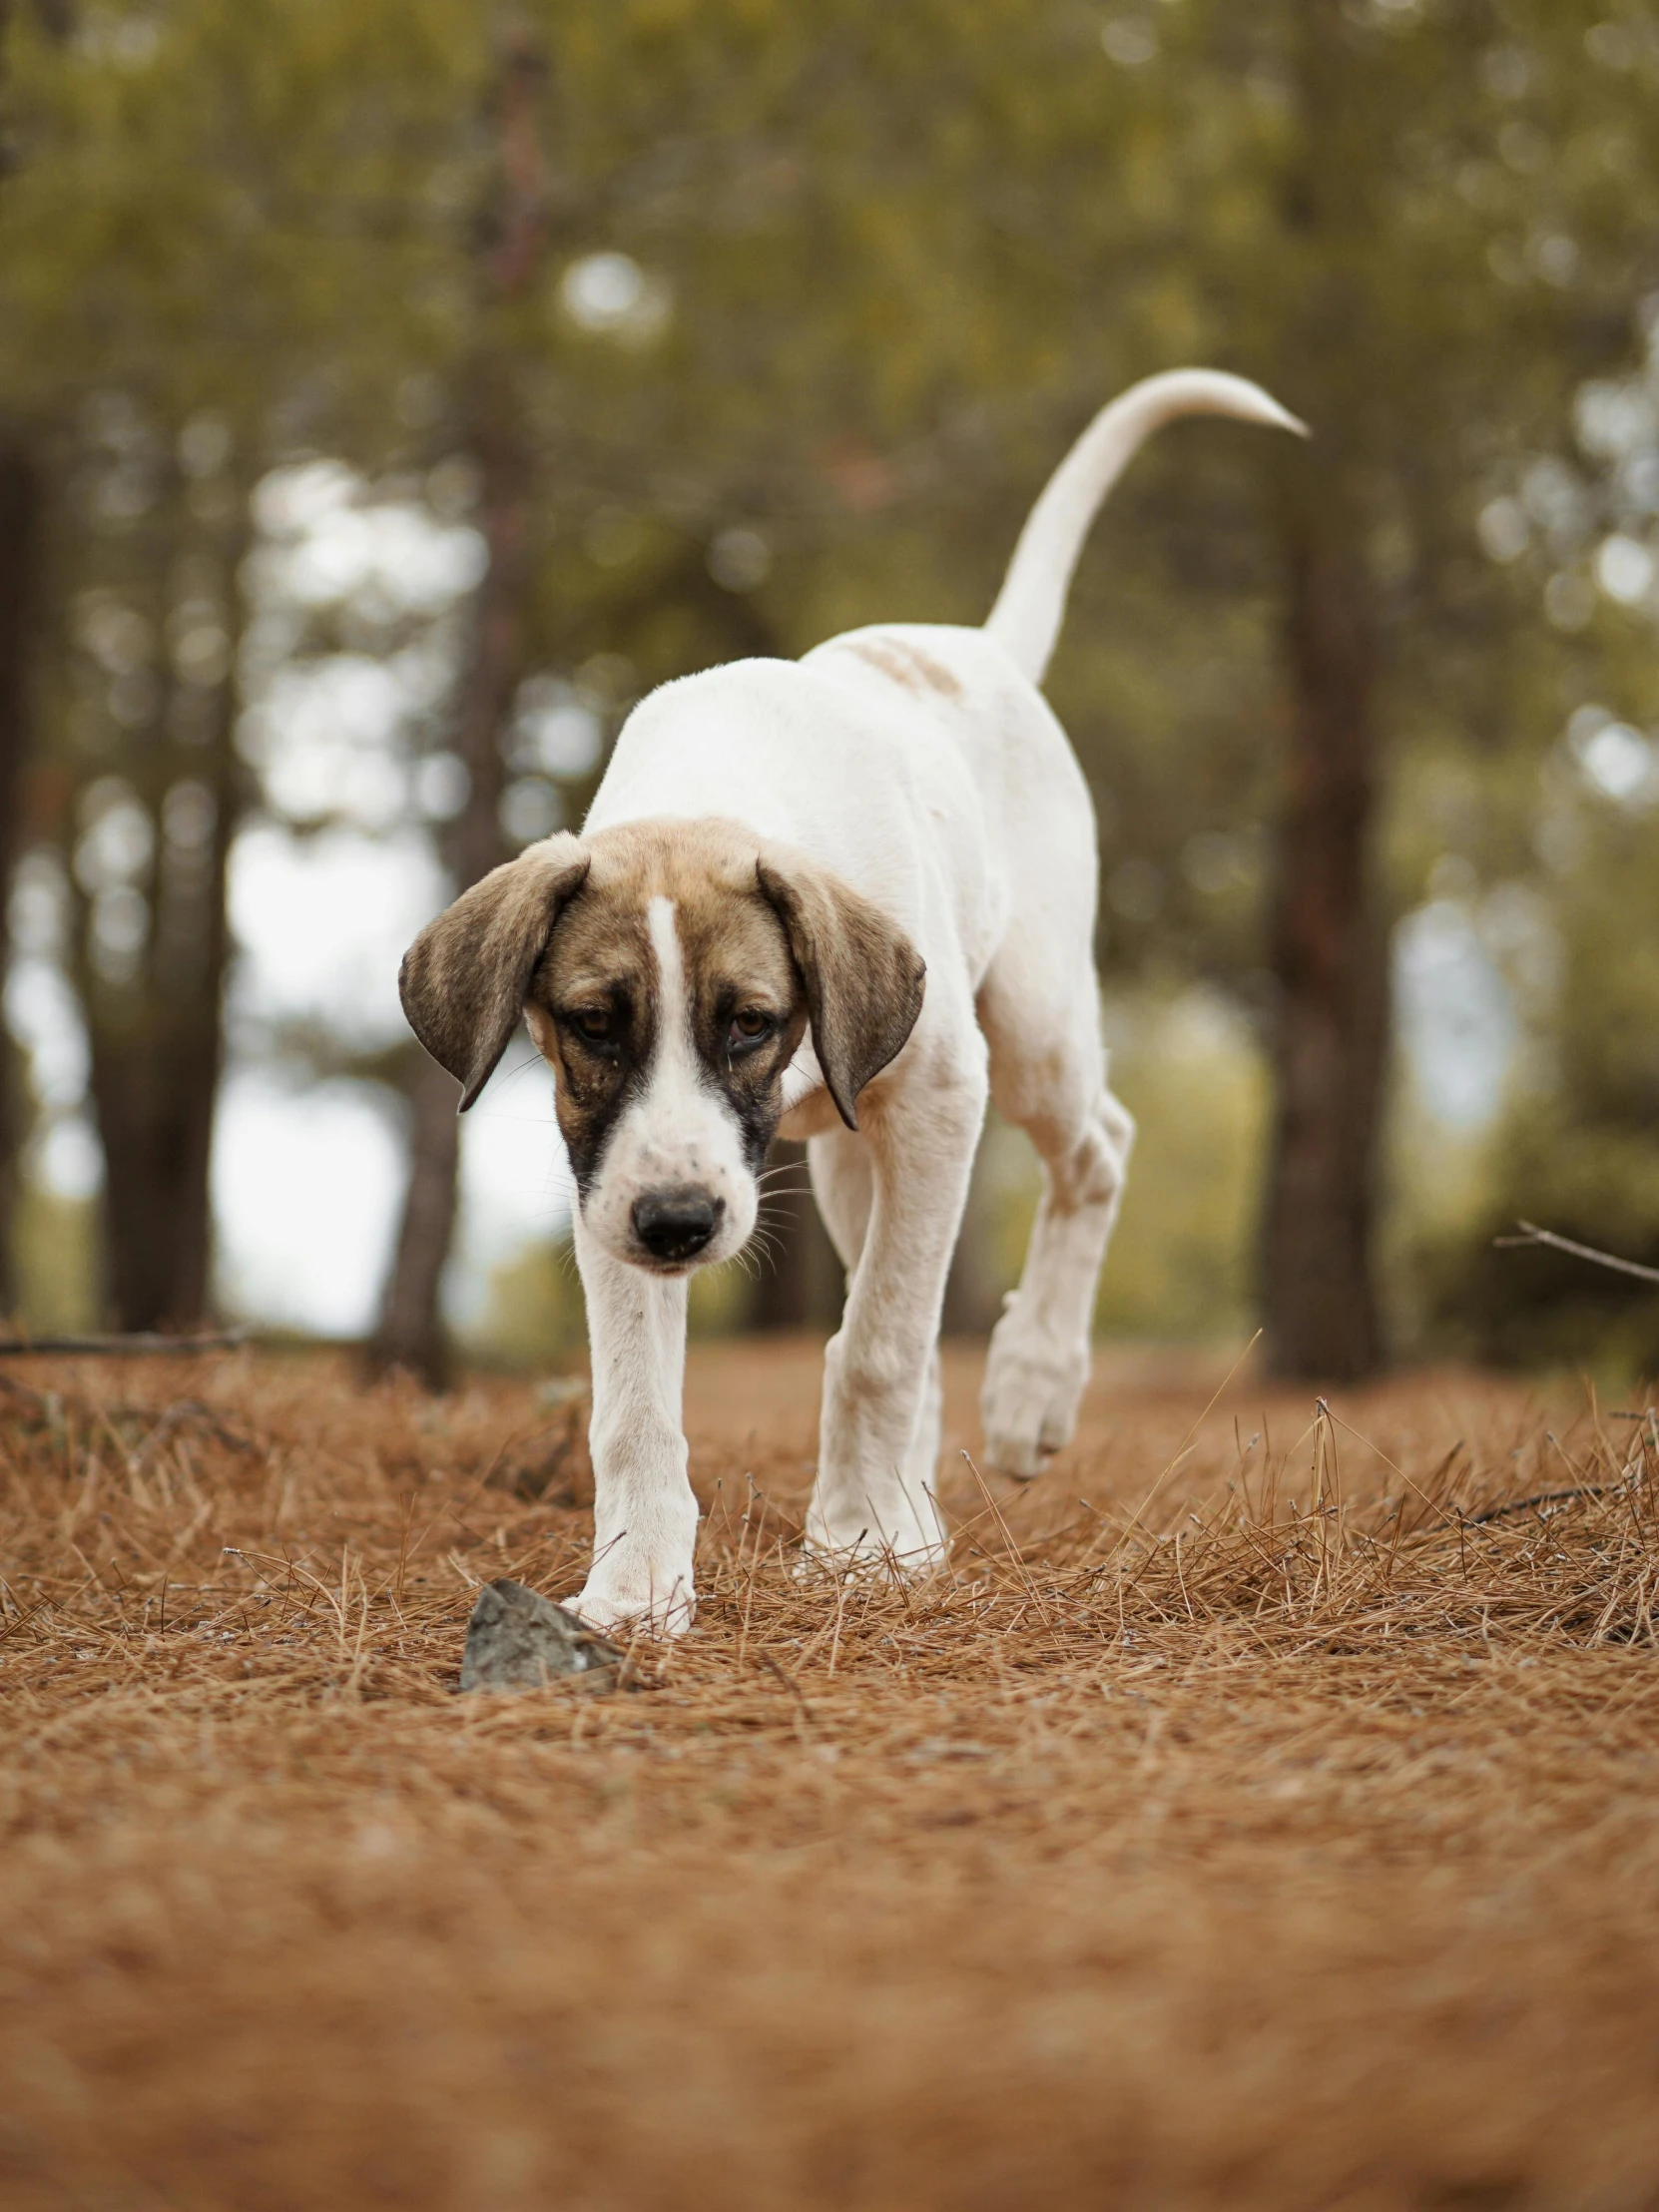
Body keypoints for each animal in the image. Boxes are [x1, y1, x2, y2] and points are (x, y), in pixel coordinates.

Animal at [400, 371, 1301, 1636]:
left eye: (748, 1021)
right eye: (592, 1025)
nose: (677, 1225)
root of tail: (978, 649)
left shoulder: (939, 1094)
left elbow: (878, 1340)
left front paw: (862, 1543)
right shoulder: (604, 1172)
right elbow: (637, 1401)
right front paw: (637, 1583)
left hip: (1031, 1037)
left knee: (1096, 1151)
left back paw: (1029, 1390)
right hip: (840, 1154)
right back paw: (919, 1504)